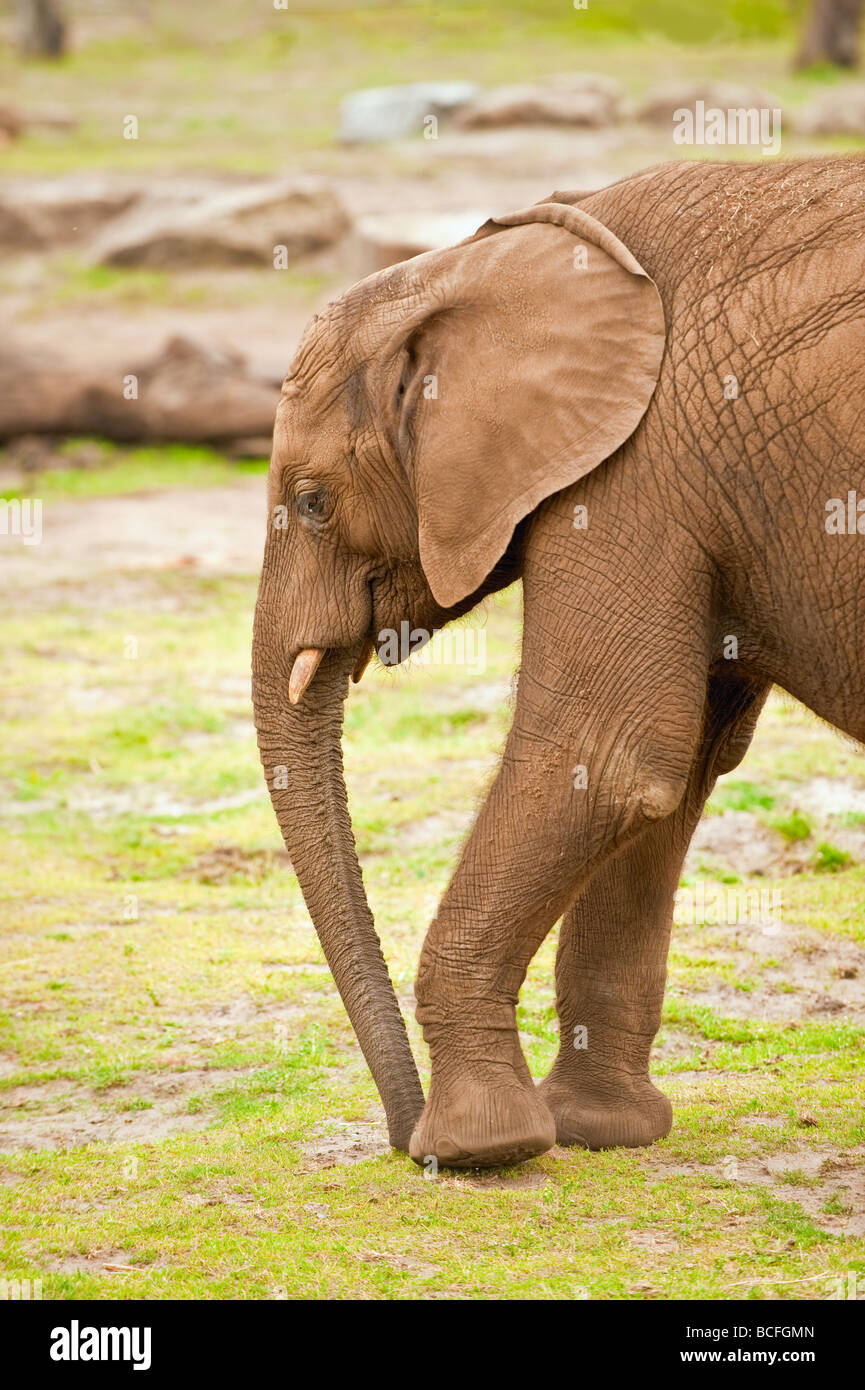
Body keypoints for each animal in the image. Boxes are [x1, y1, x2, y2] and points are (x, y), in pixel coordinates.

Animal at [252, 156, 865, 1168]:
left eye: (310, 502)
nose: (401, 1140)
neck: (487, 259)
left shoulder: (637, 468)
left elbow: (602, 752)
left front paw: (478, 1149)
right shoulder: (678, 480)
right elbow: (663, 778)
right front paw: (594, 1133)